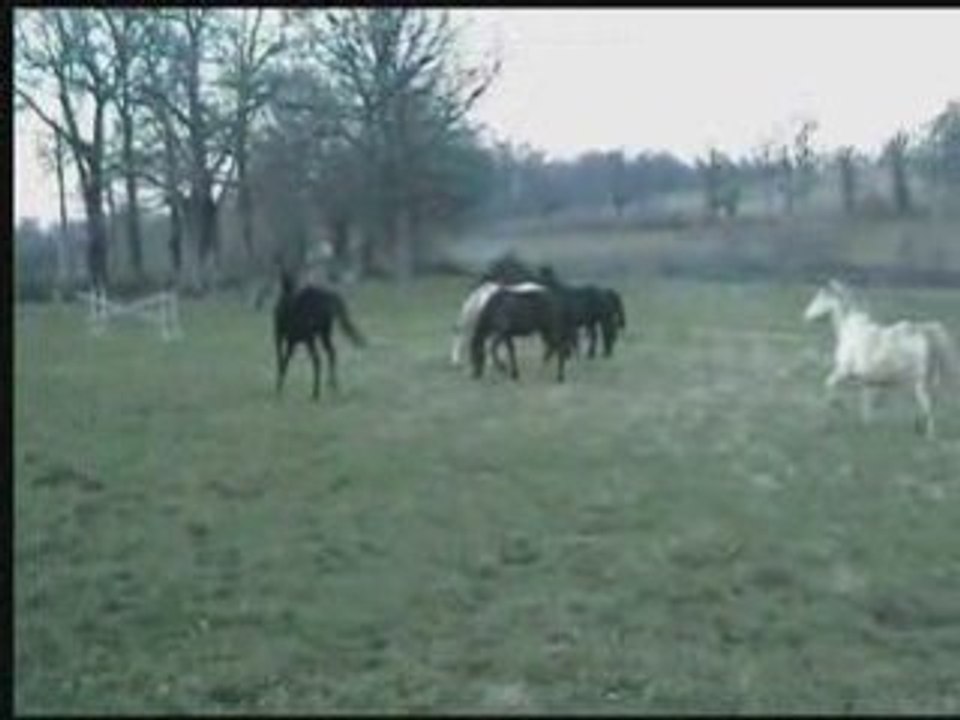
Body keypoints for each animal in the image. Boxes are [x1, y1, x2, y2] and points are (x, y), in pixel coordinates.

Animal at [274, 270, 366, 401]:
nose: (288, 282)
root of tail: (330, 296)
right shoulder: (290, 339)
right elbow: (284, 361)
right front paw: (279, 388)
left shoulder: (285, 337)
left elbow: (283, 361)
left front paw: (278, 389)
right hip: (324, 332)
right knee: (331, 352)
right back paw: (332, 385)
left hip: (313, 336)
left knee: (318, 358)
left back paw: (317, 392)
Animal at [803, 279, 959, 437]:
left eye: (821, 297)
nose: (806, 316)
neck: (852, 331)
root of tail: (924, 332)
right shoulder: (866, 380)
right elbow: (866, 401)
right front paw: (865, 424)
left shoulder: (843, 371)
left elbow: (829, 384)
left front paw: (834, 409)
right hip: (927, 382)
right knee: (930, 403)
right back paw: (919, 427)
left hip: (919, 382)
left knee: (927, 405)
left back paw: (929, 435)